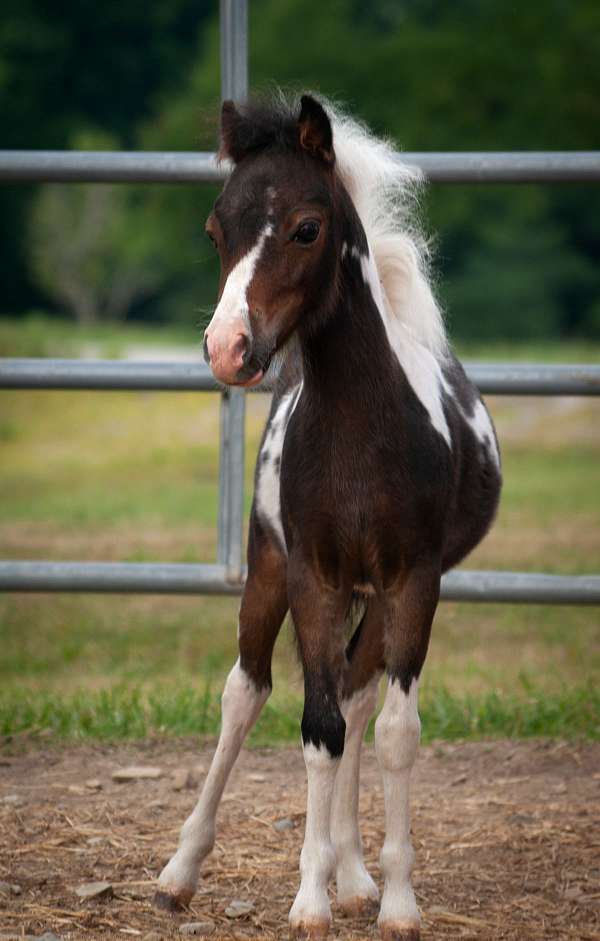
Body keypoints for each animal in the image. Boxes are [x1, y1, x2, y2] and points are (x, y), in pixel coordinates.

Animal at [155, 95, 502, 940]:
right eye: (216, 229)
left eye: (306, 227)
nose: (228, 348)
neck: (359, 432)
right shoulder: (312, 574)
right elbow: (316, 728)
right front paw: (307, 900)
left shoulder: (413, 581)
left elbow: (391, 731)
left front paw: (394, 900)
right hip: (269, 567)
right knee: (246, 691)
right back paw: (180, 872)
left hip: (372, 596)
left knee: (357, 692)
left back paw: (355, 877)